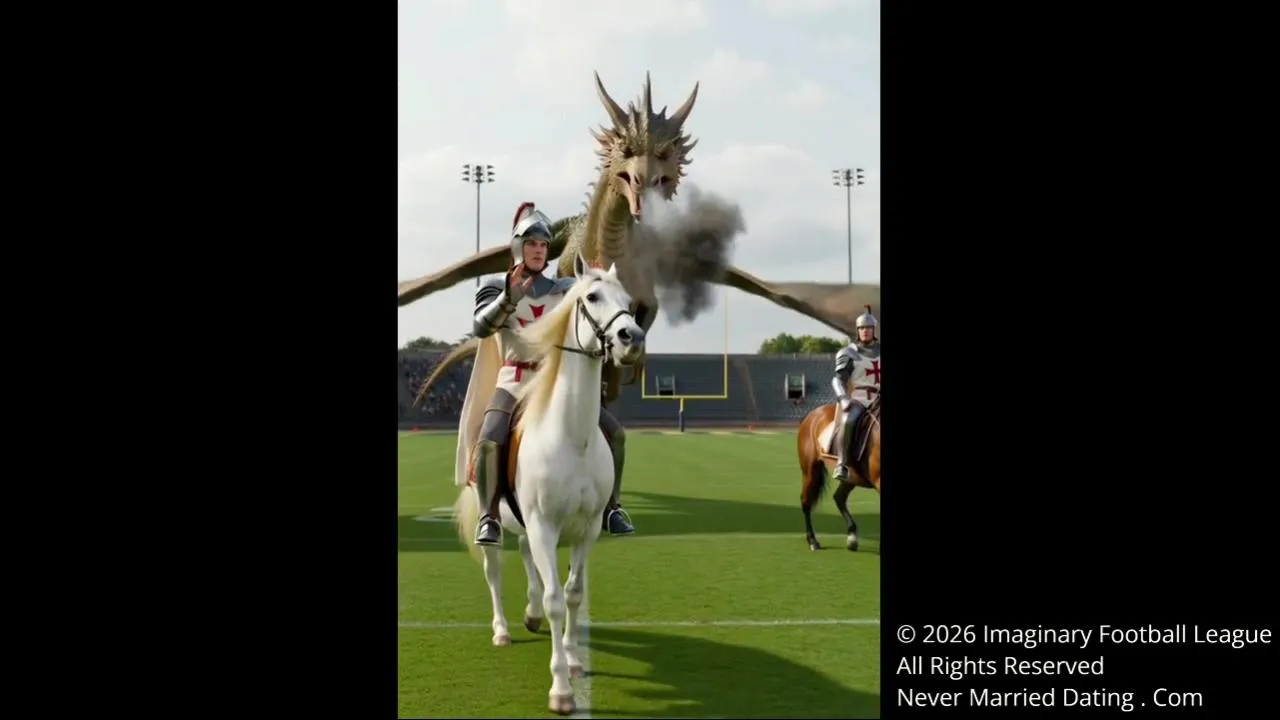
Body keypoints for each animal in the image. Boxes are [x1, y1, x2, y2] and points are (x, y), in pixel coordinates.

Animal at [451, 254, 645, 715]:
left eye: (629, 301)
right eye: (591, 297)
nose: (631, 338)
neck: (572, 437)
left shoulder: (584, 529)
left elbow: (572, 592)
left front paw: (573, 658)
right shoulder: (544, 525)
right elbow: (558, 599)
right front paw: (561, 689)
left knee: (527, 562)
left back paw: (531, 613)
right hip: (498, 517)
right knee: (494, 571)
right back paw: (502, 629)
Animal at [796, 392, 880, 551]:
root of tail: (814, 413)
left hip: (851, 477)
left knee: (839, 497)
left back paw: (852, 537)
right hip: (810, 470)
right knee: (806, 501)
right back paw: (813, 541)